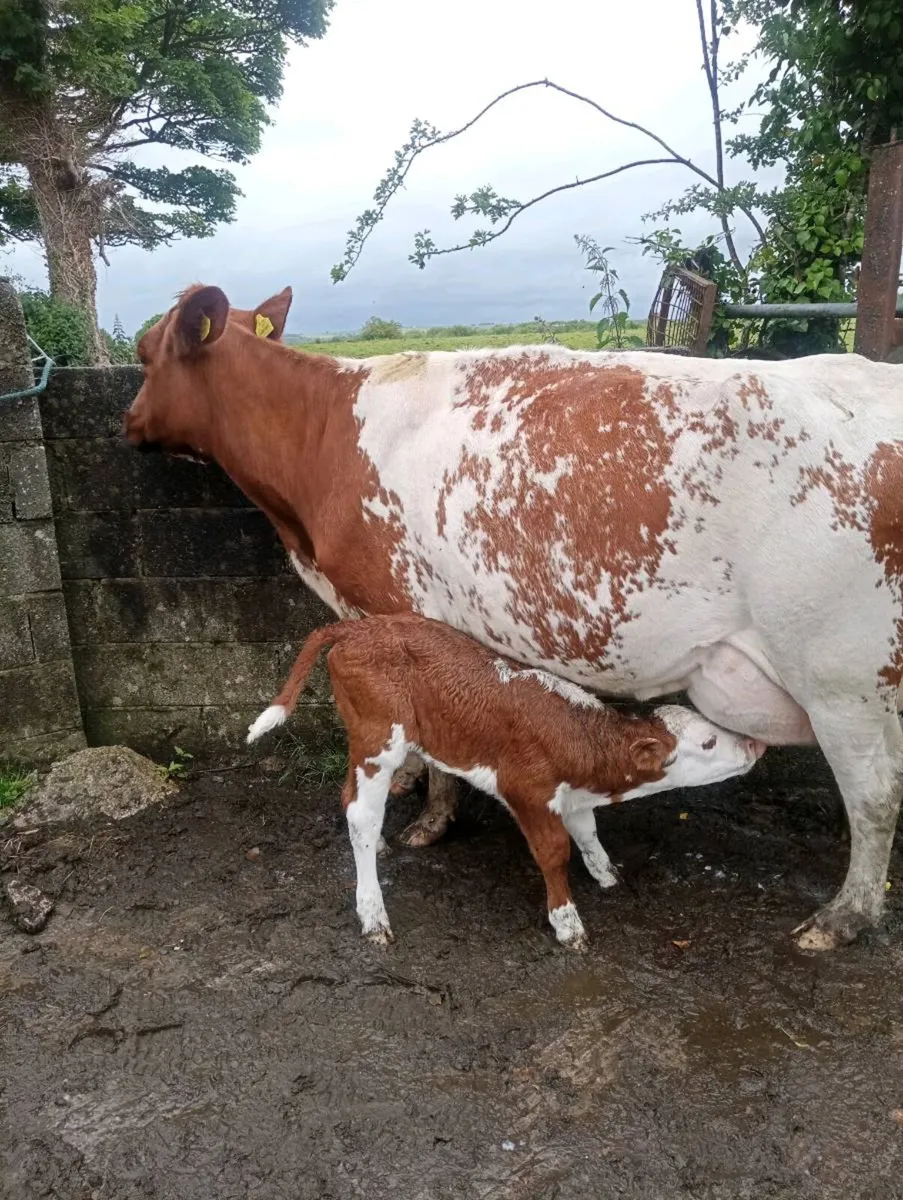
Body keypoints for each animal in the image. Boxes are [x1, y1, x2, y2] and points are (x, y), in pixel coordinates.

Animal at [246, 613, 765, 947]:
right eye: (708, 743)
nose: (755, 746)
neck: (581, 739)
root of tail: (358, 625)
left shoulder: (572, 796)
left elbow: (587, 833)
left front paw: (607, 874)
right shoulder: (528, 791)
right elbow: (554, 852)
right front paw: (567, 922)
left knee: (352, 802)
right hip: (378, 739)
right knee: (361, 815)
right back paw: (373, 914)